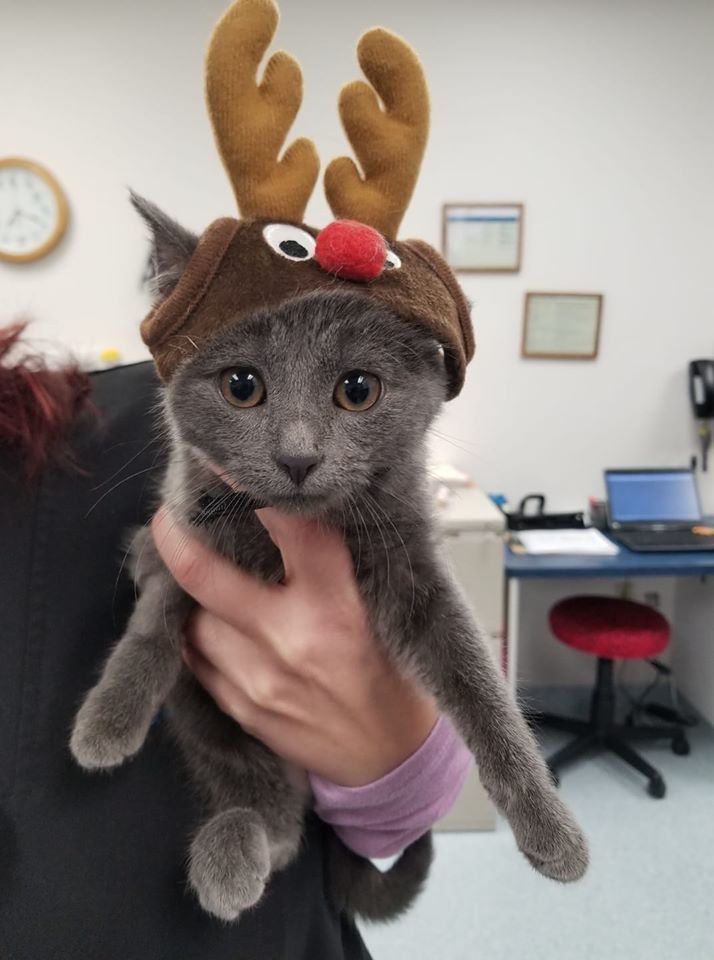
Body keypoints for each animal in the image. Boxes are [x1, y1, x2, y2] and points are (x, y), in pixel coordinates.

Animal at [69, 201, 588, 924]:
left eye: (358, 389)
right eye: (241, 385)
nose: (298, 456)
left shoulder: (412, 560)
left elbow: (479, 681)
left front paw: (549, 825)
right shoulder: (170, 539)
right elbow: (154, 619)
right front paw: (106, 721)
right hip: (213, 723)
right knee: (273, 814)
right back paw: (232, 854)